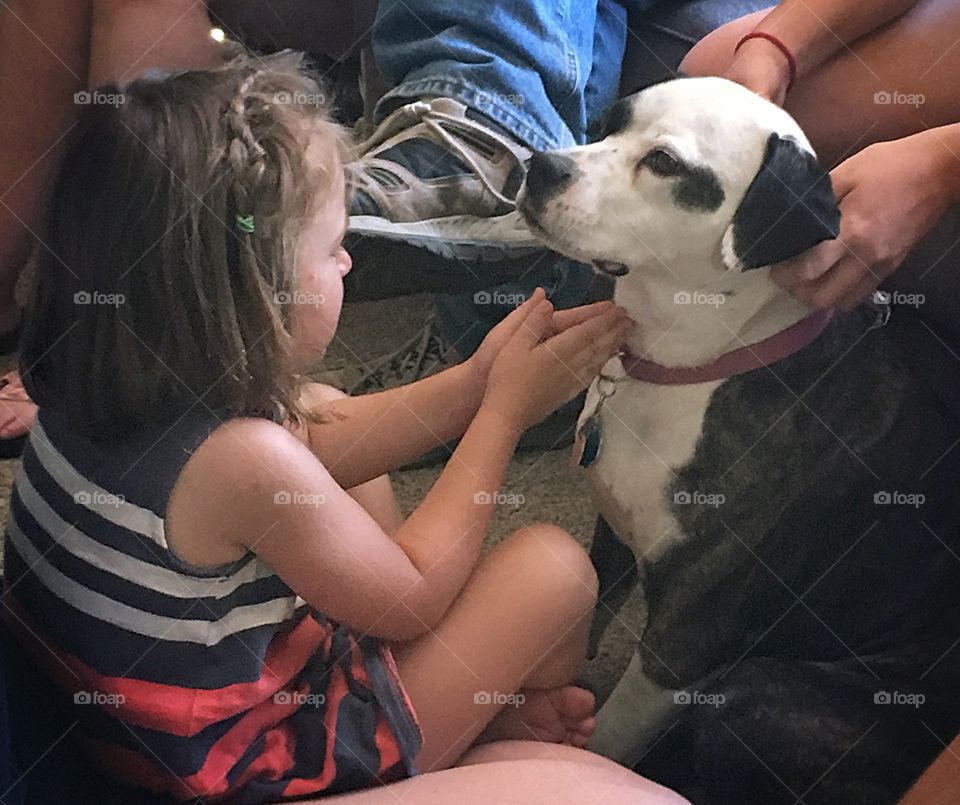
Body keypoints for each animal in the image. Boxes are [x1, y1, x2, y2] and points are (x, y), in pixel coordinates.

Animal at [520, 78, 960, 804]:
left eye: (665, 163)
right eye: (610, 122)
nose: (539, 166)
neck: (694, 365)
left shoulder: (680, 647)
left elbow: (612, 738)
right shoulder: (611, 540)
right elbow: (586, 615)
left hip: (757, 699)